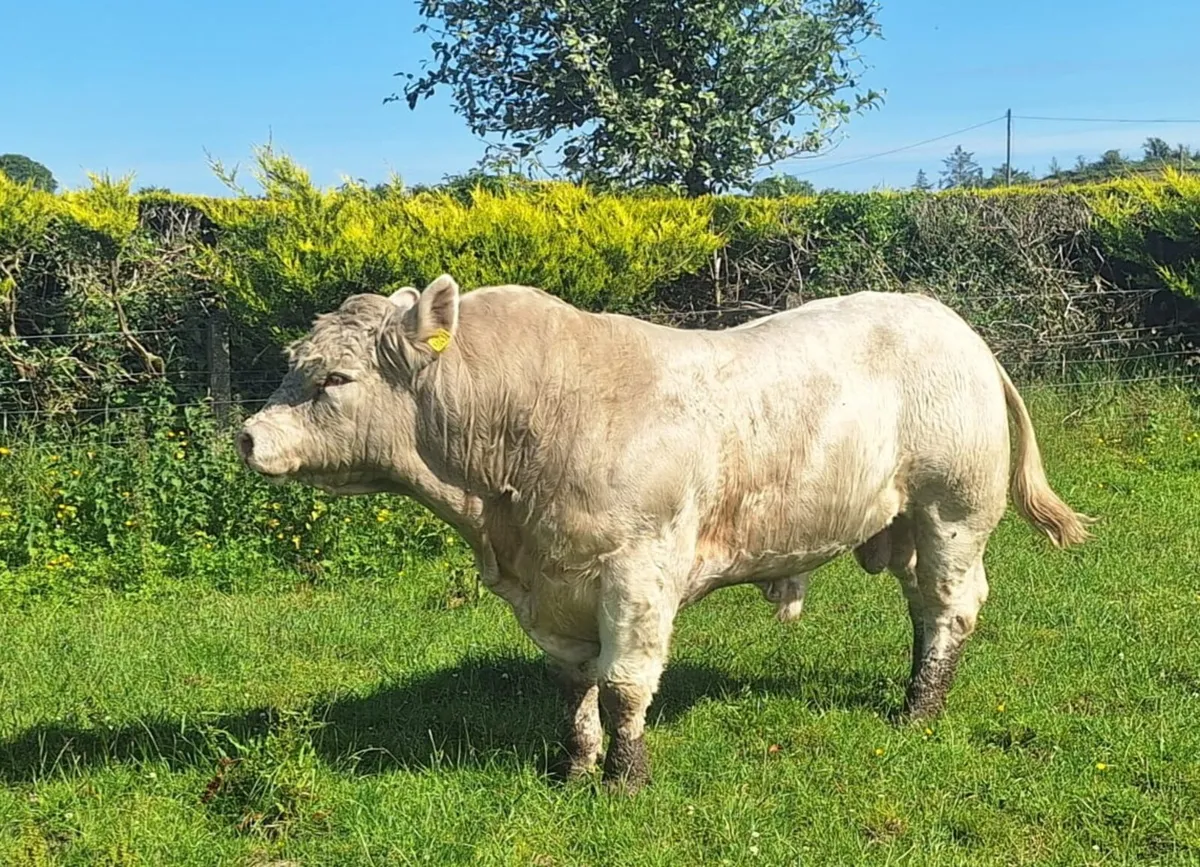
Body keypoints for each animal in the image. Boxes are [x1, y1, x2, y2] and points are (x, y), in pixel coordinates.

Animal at [235, 274, 1093, 793]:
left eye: (335, 379)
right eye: (294, 362)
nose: (246, 435)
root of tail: (950, 323)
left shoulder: (636, 572)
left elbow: (624, 684)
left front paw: (626, 776)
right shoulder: (553, 592)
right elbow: (574, 685)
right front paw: (575, 766)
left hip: (955, 510)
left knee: (951, 606)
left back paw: (920, 707)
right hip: (907, 520)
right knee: (923, 605)